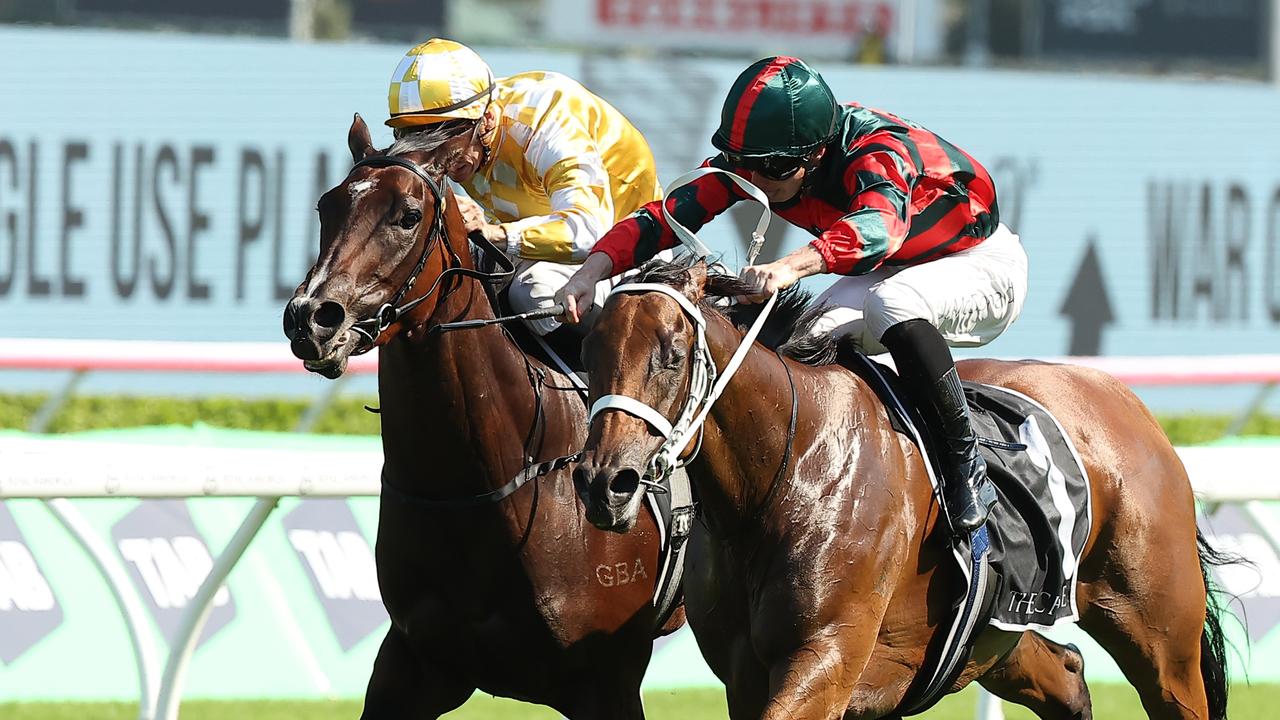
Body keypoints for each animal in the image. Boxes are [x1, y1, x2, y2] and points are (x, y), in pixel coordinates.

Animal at [576, 257, 1233, 717]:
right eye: (588, 351)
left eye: (671, 353)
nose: (605, 482)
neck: (780, 480)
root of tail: (1127, 402)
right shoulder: (746, 677)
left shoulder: (825, 660)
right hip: (996, 633)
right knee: (1067, 675)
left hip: (1160, 638)